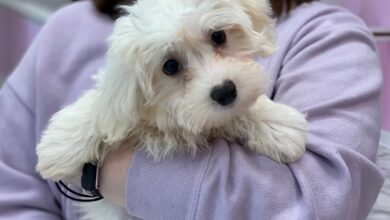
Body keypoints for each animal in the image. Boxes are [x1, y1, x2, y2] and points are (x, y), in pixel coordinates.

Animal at [35, 0, 308, 217]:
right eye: (170, 66)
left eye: (219, 36)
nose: (225, 91)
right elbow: (102, 107)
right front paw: (61, 145)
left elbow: (241, 110)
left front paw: (277, 125)